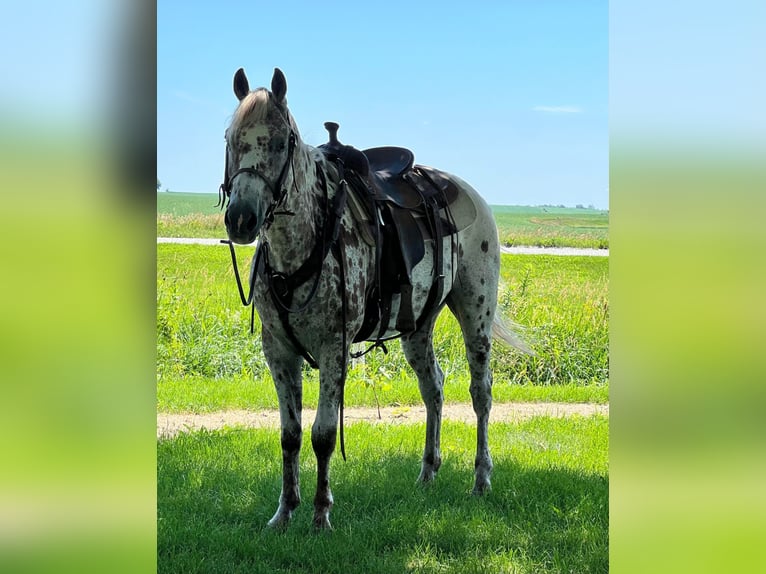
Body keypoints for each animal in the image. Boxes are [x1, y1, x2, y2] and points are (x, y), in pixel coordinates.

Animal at [216, 66, 528, 532]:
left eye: (281, 141)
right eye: (230, 138)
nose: (241, 219)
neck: (302, 244)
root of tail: (468, 193)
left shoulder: (334, 348)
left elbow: (323, 435)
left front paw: (320, 515)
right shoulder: (278, 350)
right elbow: (290, 436)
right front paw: (284, 513)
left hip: (476, 315)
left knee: (481, 393)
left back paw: (481, 478)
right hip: (417, 328)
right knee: (433, 388)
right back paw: (428, 471)